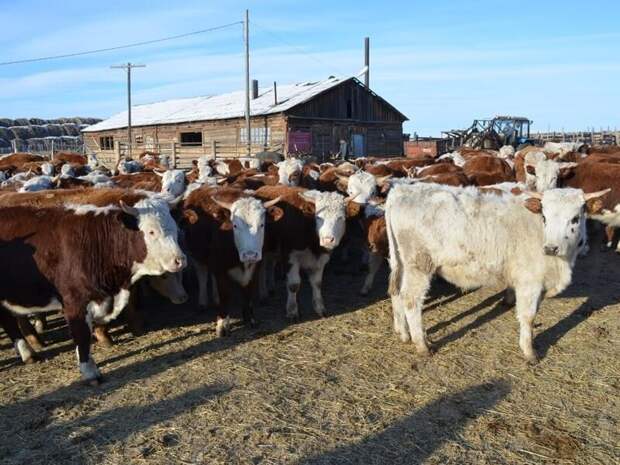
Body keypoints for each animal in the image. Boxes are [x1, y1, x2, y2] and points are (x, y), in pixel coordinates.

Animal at [0, 199, 184, 384]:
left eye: (175, 227)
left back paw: (28, 354)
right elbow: (81, 335)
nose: (180, 260)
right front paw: (90, 372)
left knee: (8, 322)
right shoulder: (74, 302)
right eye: (151, 231)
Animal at [386, 183, 608, 360]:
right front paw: (529, 351)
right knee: (410, 300)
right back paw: (422, 344)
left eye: (575, 218)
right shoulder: (530, 281)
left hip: (401, 262)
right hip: (419, 265)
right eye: (544, 216)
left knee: (396, 293)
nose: (551, 248)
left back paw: (402, 333)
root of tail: (401, 189)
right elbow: (528, 316)